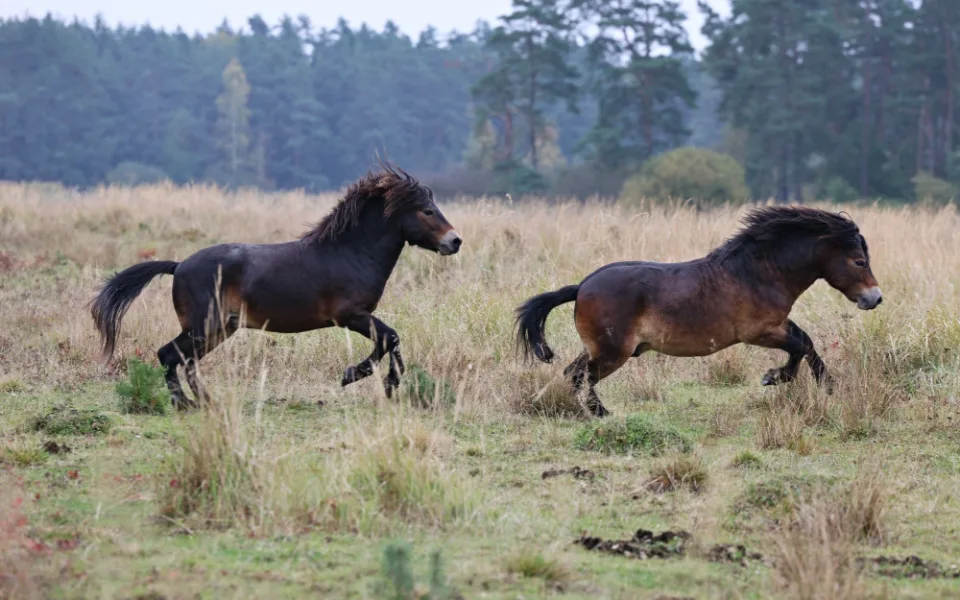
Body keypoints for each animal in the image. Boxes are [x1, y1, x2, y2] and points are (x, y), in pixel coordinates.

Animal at [91, 164, 462, 409]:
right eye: (427, 211)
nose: (455, 241)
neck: (351, 252)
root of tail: (178, 265)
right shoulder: (350, 316)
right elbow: (390, 338)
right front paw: (361, 376)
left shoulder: (358, 317)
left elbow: (390, 340)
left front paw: (379, 381)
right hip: (203, 327)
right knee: (169, 355)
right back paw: (187, 405)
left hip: (218, 329)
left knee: (186, 362)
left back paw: (206, 402)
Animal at [515, 205, 882, 418]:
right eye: (858, 261)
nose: (875, 298)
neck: (759, 272)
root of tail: (581, 286)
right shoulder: (758, 332)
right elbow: (799, 347)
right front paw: (774, 377)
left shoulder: (779, 323)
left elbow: (806, 342)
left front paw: (826, 385)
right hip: (611, 353)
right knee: (582, 375)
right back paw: (600, 412)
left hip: (600, 349)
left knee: (572, 372)